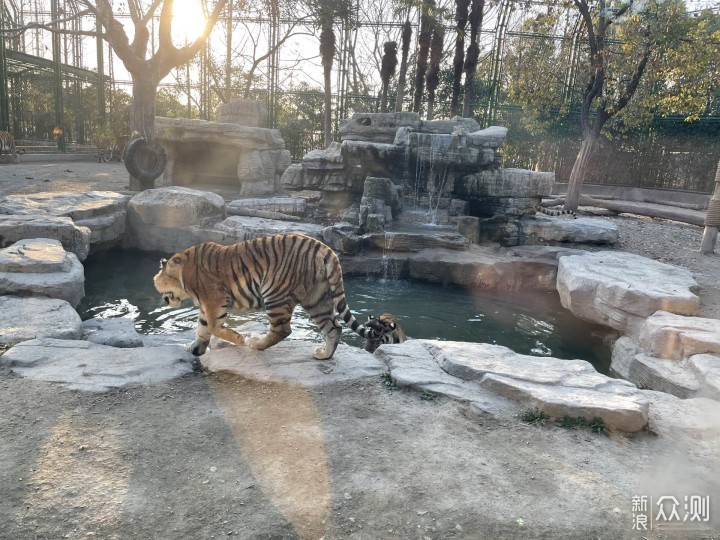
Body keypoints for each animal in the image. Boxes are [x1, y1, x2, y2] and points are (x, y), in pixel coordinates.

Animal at [150, 232, 388, 358]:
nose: (162, 298)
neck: (183, 273)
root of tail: (324, 248)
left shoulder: (214, 300)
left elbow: (215, 327)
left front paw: (239, 339)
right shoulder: (205, 305)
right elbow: (202, 328)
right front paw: (196, 348)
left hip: (275, 293)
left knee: (283, 329)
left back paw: (255, 344)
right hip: (317, 299)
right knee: (334, 327)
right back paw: (324, 355)